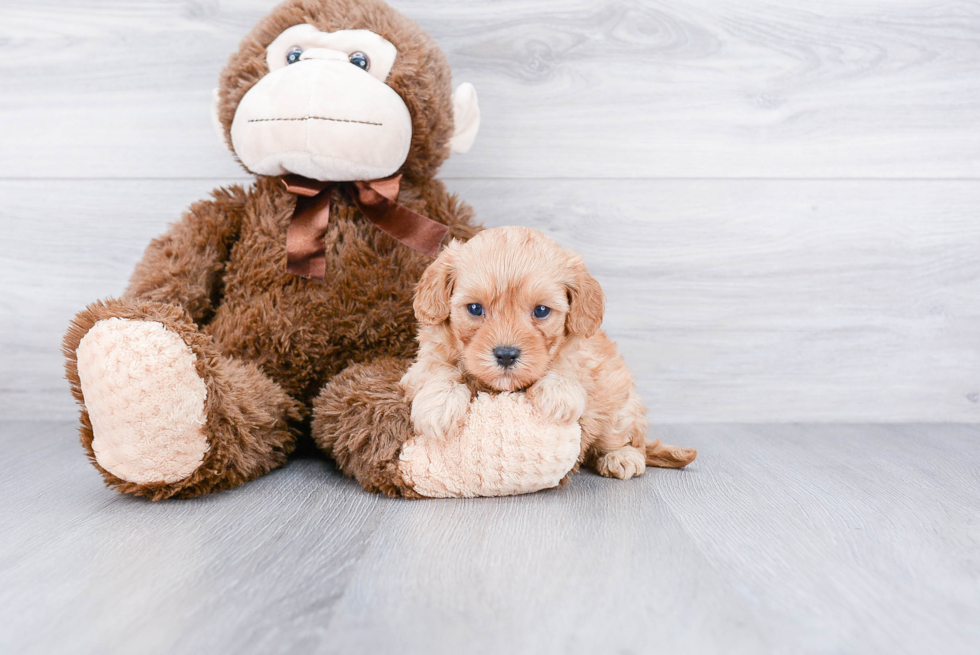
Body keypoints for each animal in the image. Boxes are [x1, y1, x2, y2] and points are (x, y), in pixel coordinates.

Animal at [398, 227, 696, 482]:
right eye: (474, 308)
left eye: (541, 311)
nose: (506, 355)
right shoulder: (424, 363)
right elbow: (440, 370)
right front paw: (440, 405)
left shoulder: (584, 355)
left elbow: (565, 363)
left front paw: (558, 393)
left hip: (619, 405)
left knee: (628, 438)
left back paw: (621, 456)